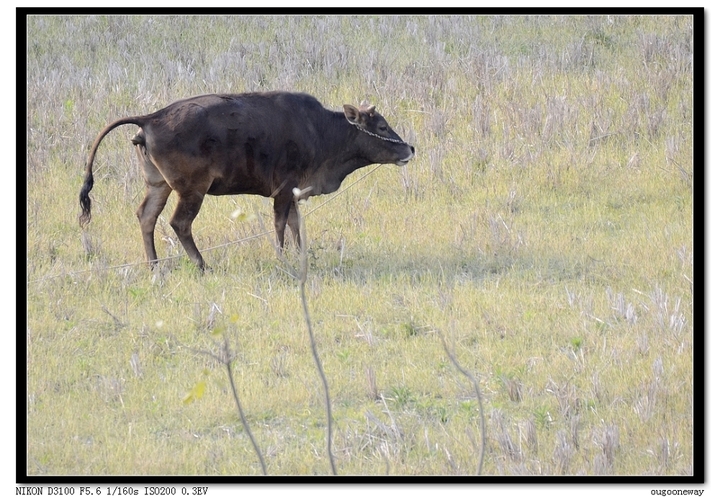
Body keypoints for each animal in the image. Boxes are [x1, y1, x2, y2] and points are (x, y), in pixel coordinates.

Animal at [77, 91, 416, 270]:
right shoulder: (283, 190)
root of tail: (151, 118)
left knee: (146, 217)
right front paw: (281, 258)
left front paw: (301, 255)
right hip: (191, 190)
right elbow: (280, 224)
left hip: (158, 185)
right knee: (179, 223)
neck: (320, 130)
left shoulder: (293, 192)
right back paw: (202, 265)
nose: (410, 148)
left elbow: (295, 225)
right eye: (381, 126)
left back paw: (155, 267)